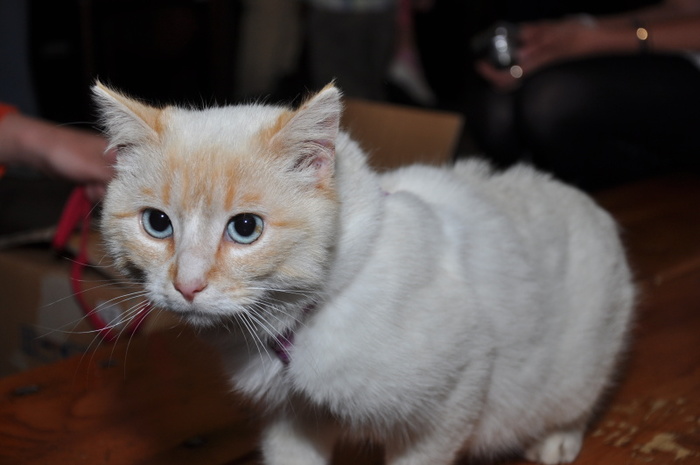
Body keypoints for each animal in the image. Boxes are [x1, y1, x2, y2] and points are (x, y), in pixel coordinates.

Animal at [94, 81, 635, 465]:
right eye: (157, 223)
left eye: (245, 228)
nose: (186, 285)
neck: (304, 321)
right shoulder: (291, 419)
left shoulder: (451, 403)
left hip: (581, 365)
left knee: (578, 402)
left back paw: (557, 440)